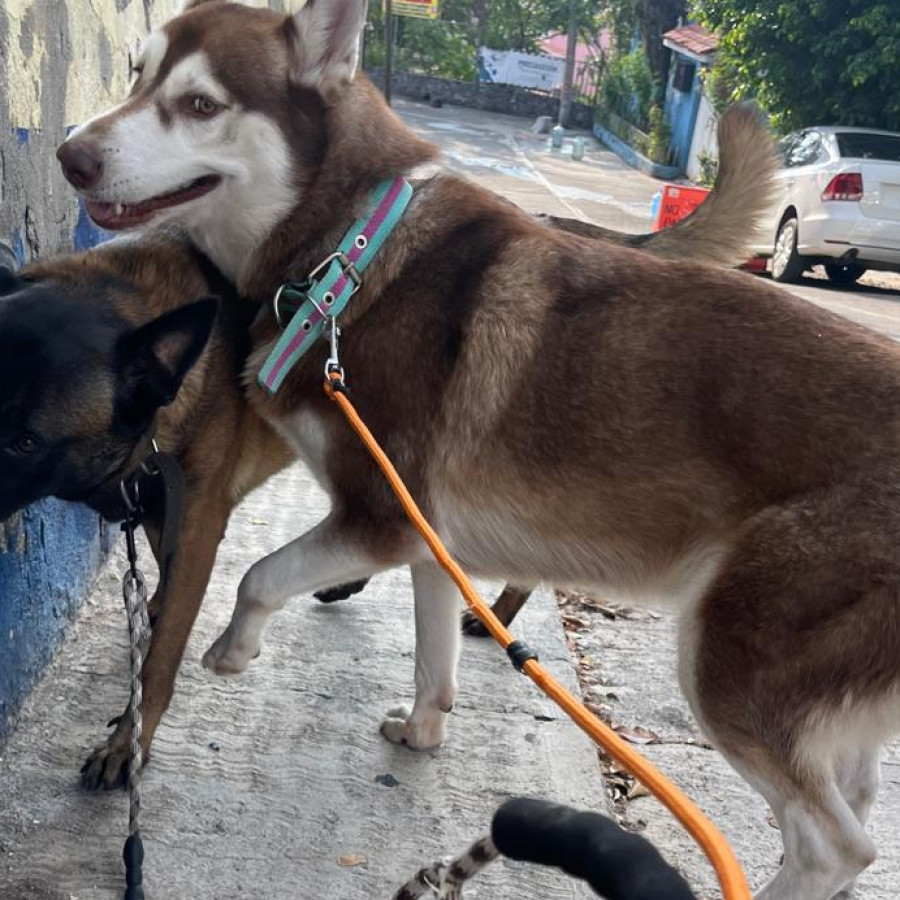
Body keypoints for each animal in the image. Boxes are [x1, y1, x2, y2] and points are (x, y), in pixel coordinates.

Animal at [58, 3, 900, 896]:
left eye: (200, 105)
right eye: (135, 73)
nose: (71, 154)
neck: (347, 257)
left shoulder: (380, 518)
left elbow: (257, 576)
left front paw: (233, 648)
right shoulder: (431, 539)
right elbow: (431, 657)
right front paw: (424, 728)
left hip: (733, 661)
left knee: (835, 843)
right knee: (854, 804)